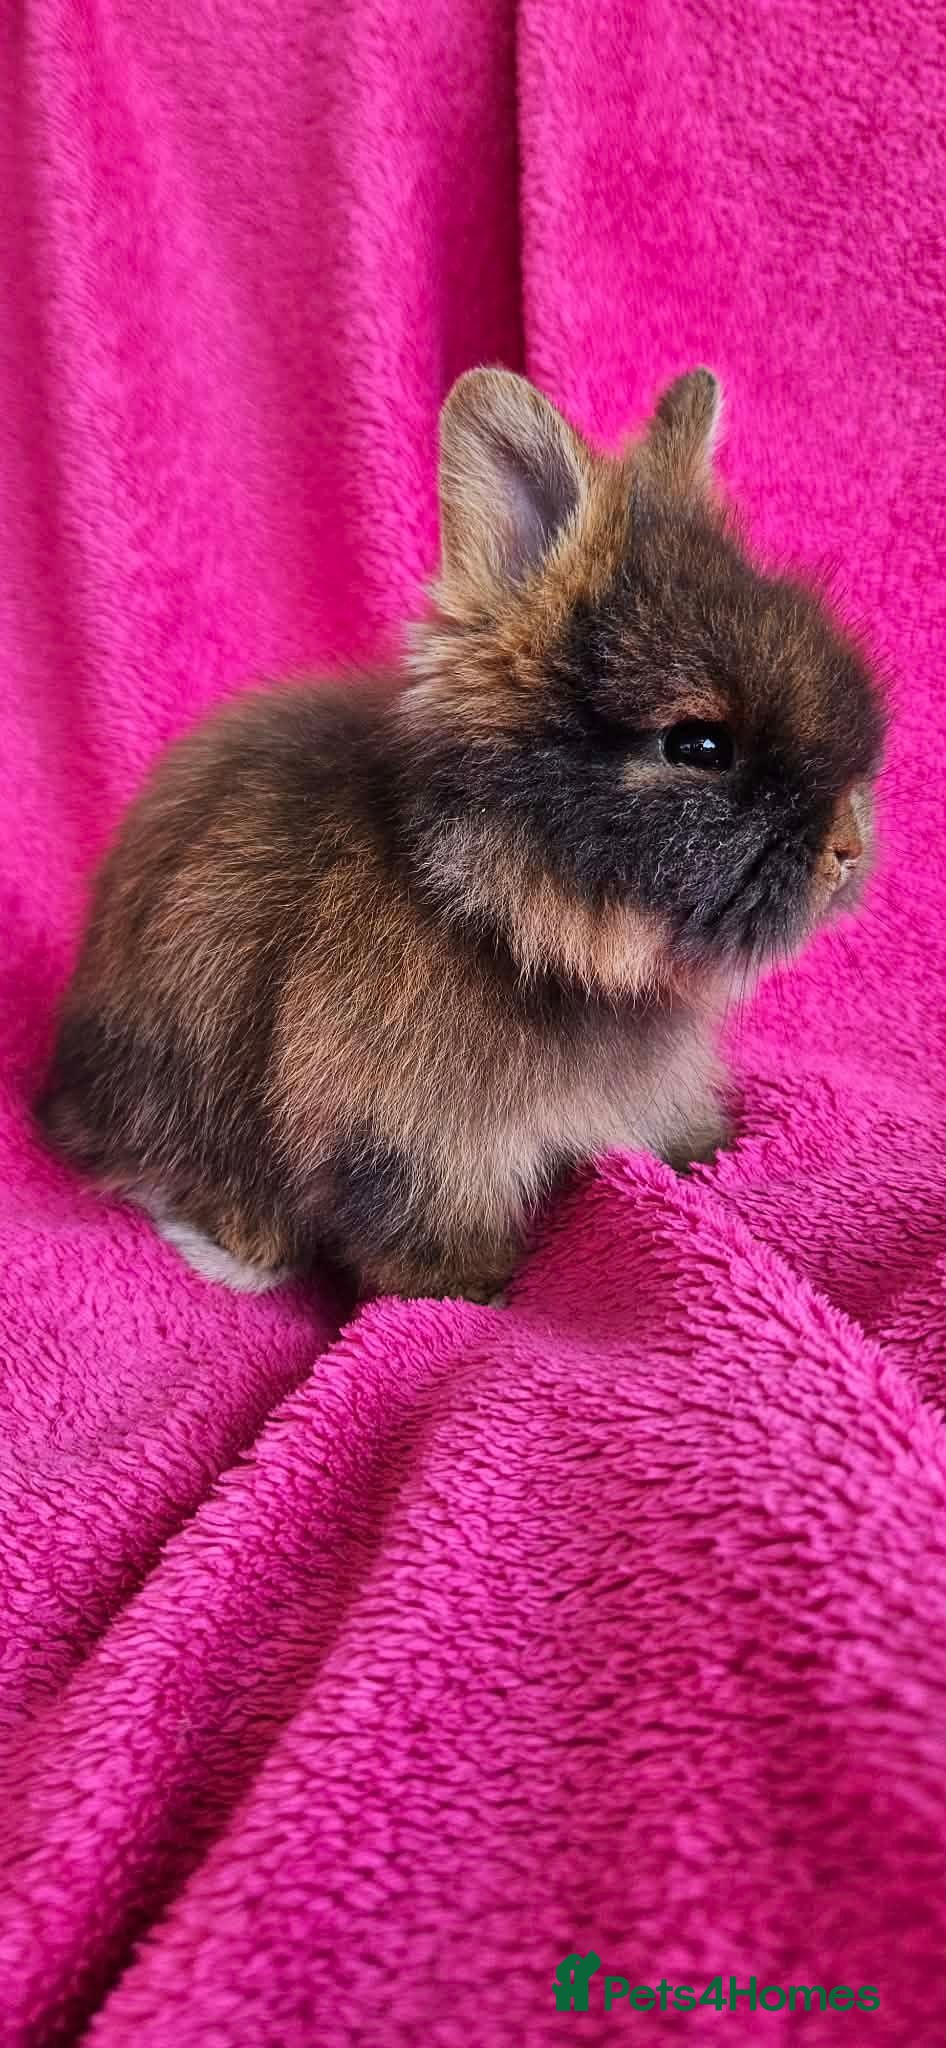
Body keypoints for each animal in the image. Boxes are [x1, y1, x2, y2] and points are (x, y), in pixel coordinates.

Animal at [37, 367, 885, 1304]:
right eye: (699, 745)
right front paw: (475, 1292)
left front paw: (708, 1156)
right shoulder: (410, 1134)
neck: (497, 907)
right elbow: (424, 1220)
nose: (845, 851)